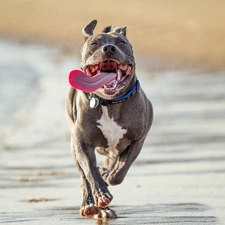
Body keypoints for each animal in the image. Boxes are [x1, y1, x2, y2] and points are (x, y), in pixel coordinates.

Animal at [65, 20, 153, 219]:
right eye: (94, 43)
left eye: (121, 42)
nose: (109, 48)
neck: (110, 103)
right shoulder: (82, 143)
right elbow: (90, 172)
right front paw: (101, 193)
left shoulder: (137, 140)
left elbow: (120, 171)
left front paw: (107, 176)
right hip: (74, 145)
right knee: (84, 178)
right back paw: (91, 205)